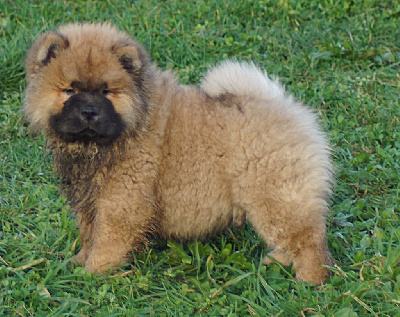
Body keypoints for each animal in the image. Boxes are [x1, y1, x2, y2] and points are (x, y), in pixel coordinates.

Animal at [23, 22, 332, 284]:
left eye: (106, 92)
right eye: (69, 90)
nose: (89, 111)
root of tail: (285, 106)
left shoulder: (121, 200)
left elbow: (107, 241)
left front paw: (94, 273)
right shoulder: (89, 199)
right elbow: (88, 234)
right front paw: (78, 262)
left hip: (273, 195)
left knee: (308, 239)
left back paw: (310, 281)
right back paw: (277, 262)